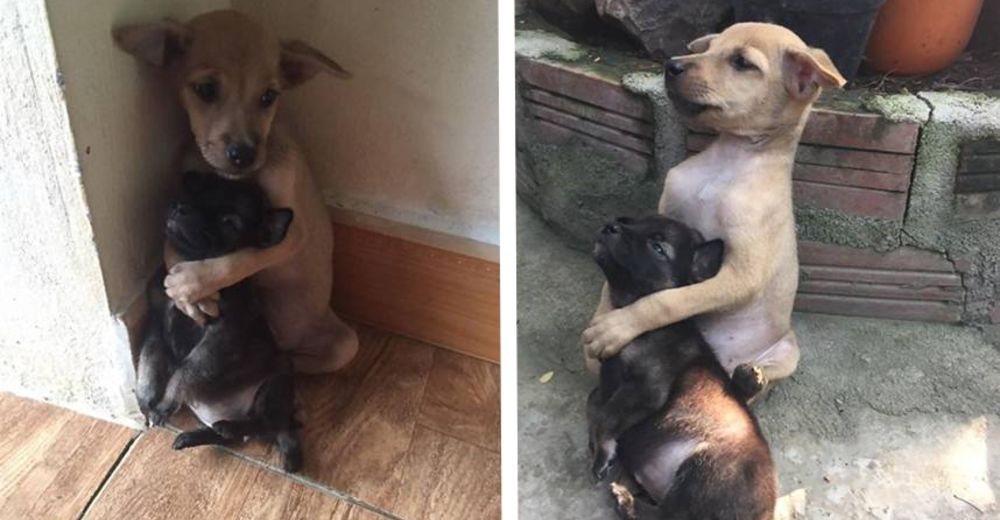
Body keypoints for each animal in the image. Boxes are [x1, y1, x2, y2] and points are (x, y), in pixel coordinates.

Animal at [115, 10, 358, 372]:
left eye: (269, 97)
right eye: (205, 89)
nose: (243, 155)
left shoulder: (293, 233)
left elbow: (241, 258)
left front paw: (191, 284)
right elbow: (172, 243)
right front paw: (189, 296)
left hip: (345, 344)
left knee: (299, 357)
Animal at [136, 173, 304, 474]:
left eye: (229, 222)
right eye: (199, 193)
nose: (180, 207)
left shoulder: (219, 337)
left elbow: (182, 373)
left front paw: (164, 404)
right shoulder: (155, 324)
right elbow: (148, 362)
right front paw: (146, 399)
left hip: (278, 378)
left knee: (266, 423)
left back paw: (229, 426)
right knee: (236, 436)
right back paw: (195, 436)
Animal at [584, 23, 848, 390]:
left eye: (742, 62)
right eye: (710, 48)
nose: (671, 65)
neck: (727, 163)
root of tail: (720, 364)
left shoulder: (742, 274)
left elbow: (671, 300)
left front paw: (617, 327)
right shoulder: (667, 215)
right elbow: (614, 281)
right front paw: (608, 313)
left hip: (788, 352)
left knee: (754, 383)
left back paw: (751, 380)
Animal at [588, 215, 776, 520]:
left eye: (658, 248)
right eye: (627, 220)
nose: (609, 226)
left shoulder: (647, 387)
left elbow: (606, 415)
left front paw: (601, 453)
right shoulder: (609, 382)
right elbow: (596, 405)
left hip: (705, 469)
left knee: (669, 515)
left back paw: (625, 500)